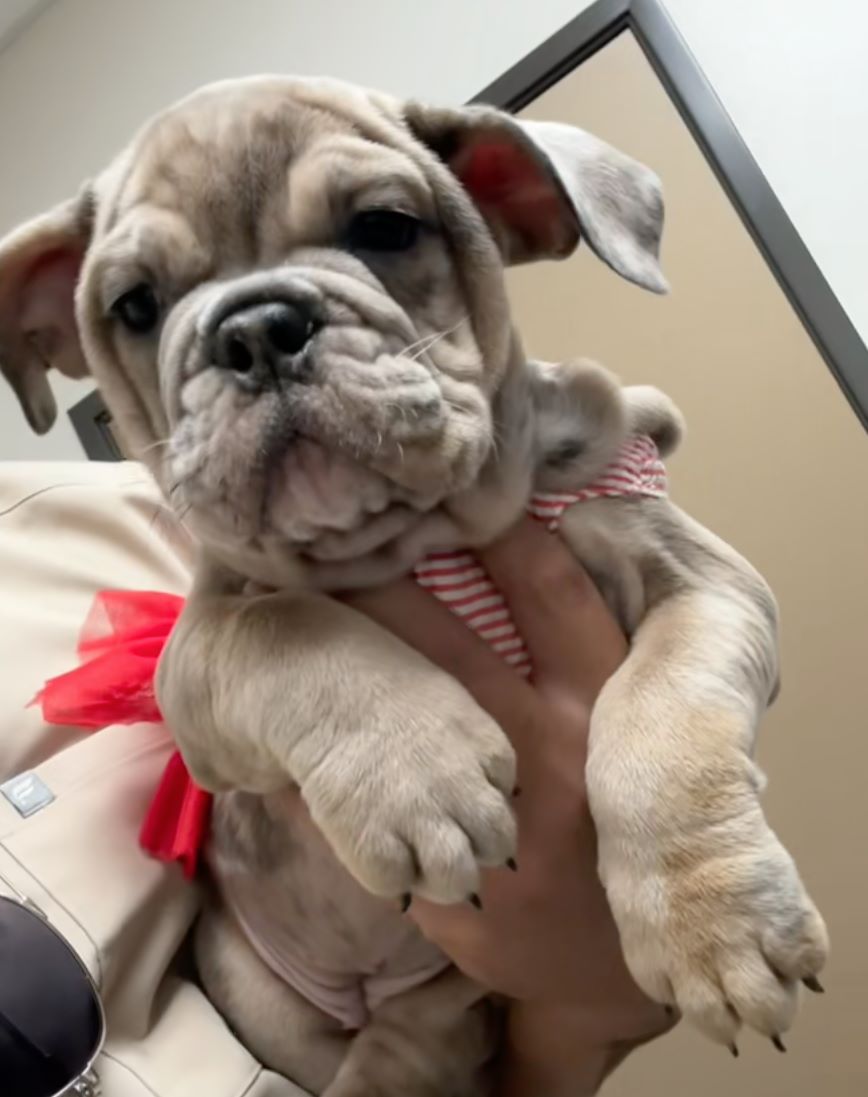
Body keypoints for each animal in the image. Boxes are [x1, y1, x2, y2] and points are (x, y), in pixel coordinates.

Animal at [0, 79, 829, 1097]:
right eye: (135, 304)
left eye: (386, 227)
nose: (253, 329)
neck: (423, 538)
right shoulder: (197, 656)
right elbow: (291, 631)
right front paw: (413, 773)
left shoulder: (704, 581)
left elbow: (662, 714)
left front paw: (716, 920)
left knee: (425, 1028)